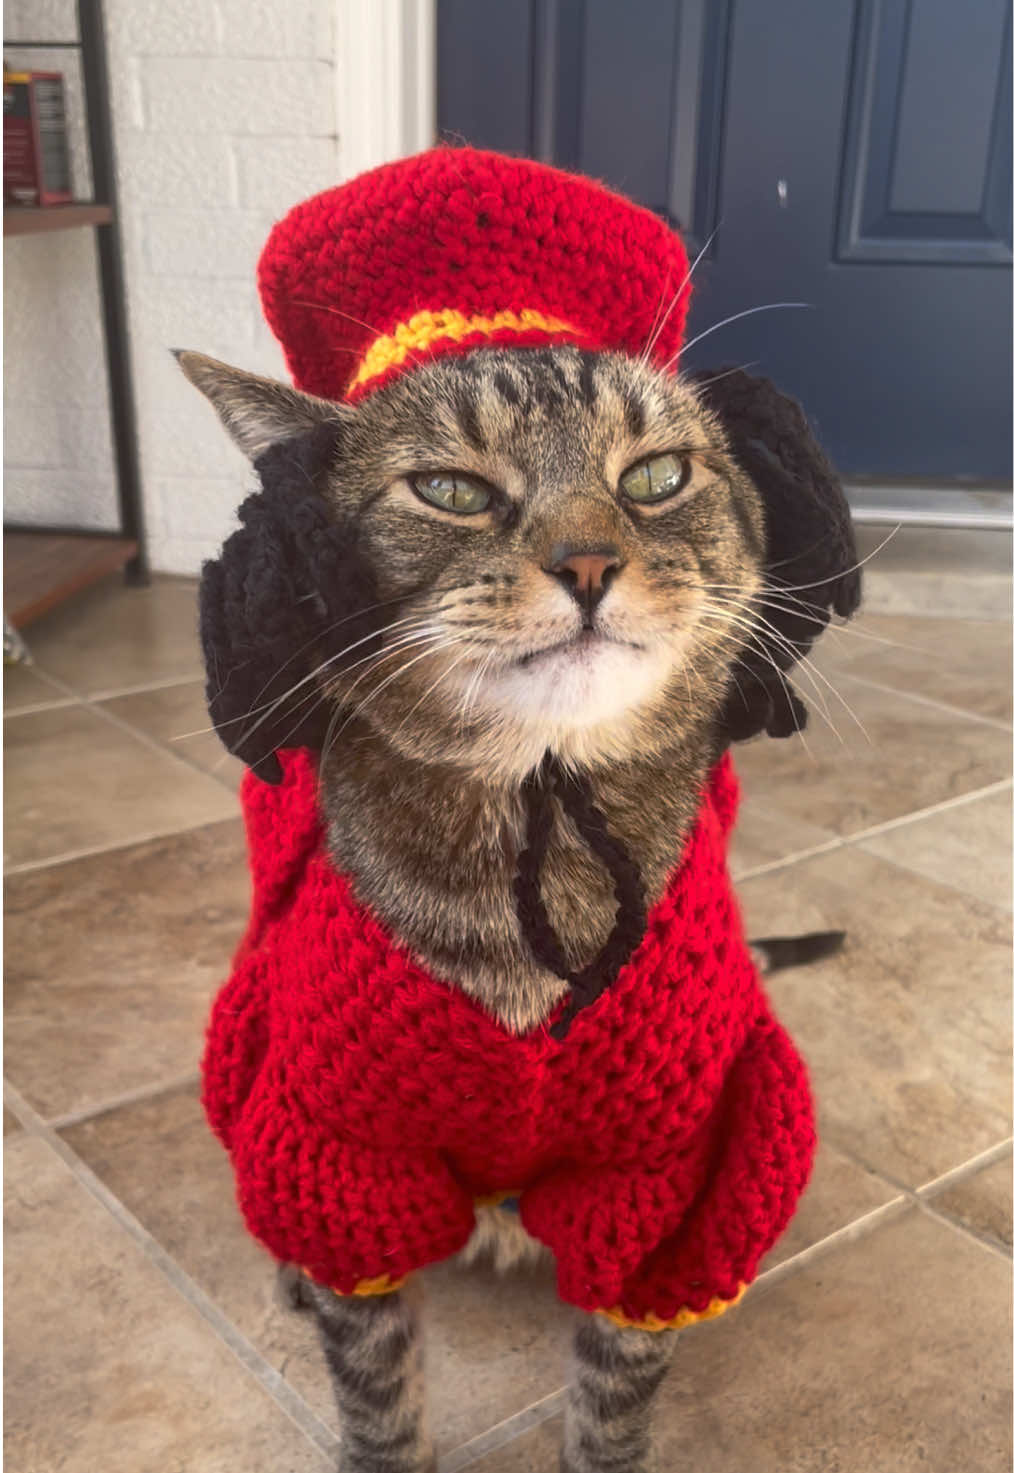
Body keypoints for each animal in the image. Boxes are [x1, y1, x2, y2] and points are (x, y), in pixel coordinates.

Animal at [176, 338, 854, 1473]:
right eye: (451, 491)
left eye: (656, 476)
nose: (587, 564)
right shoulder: (342, 1152)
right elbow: (377, 1384)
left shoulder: (662, 1177)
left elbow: (616, 1387)